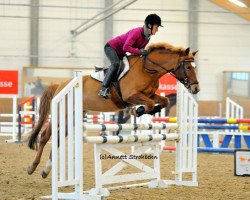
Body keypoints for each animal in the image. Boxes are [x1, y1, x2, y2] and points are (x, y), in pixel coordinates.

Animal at [26, 41, 200, 178]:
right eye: (188, 67)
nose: (196, 89)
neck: (147, 69)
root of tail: (60, 84)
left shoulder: (150, 95)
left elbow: (163, 101)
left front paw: (143, 111)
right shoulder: (131, 96)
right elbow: (149, 104)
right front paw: (137, 111)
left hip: (74, 116)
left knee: (58, 138)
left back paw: (46, 170)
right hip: (64, 114)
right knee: (45, 136)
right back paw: (32, 167)